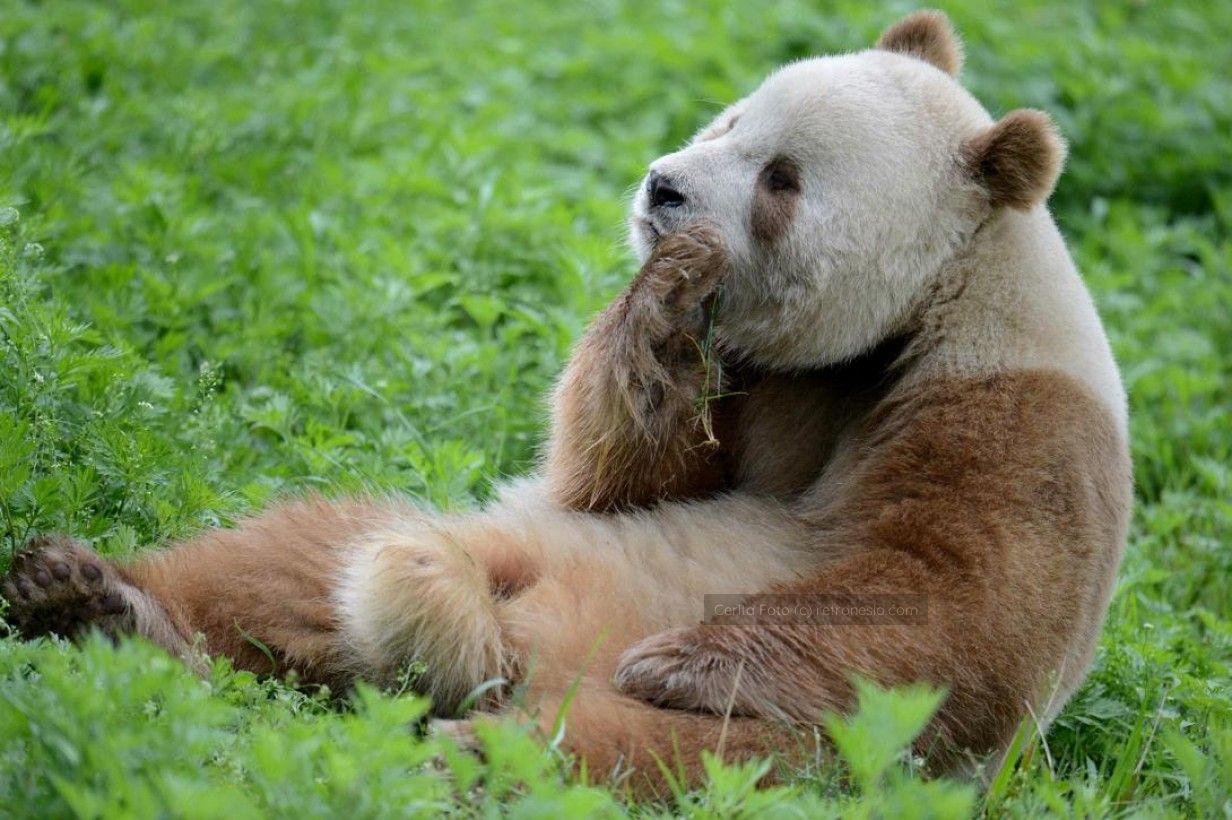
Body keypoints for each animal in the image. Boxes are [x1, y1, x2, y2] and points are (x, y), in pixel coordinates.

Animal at [2, 11, 1130, 797]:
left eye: (781, 177)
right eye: (731, 117)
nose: (664, 188)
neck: (910, 314)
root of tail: (502, 659)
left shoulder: (1012, 416)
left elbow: (949, 603)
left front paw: (681, 657)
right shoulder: (759, 381)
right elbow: (618, 477)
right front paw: (663, 296)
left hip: (813, 745)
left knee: (656, 755)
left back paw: (465, 754)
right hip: (501, 541)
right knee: (294, 556)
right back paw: (97, 602)